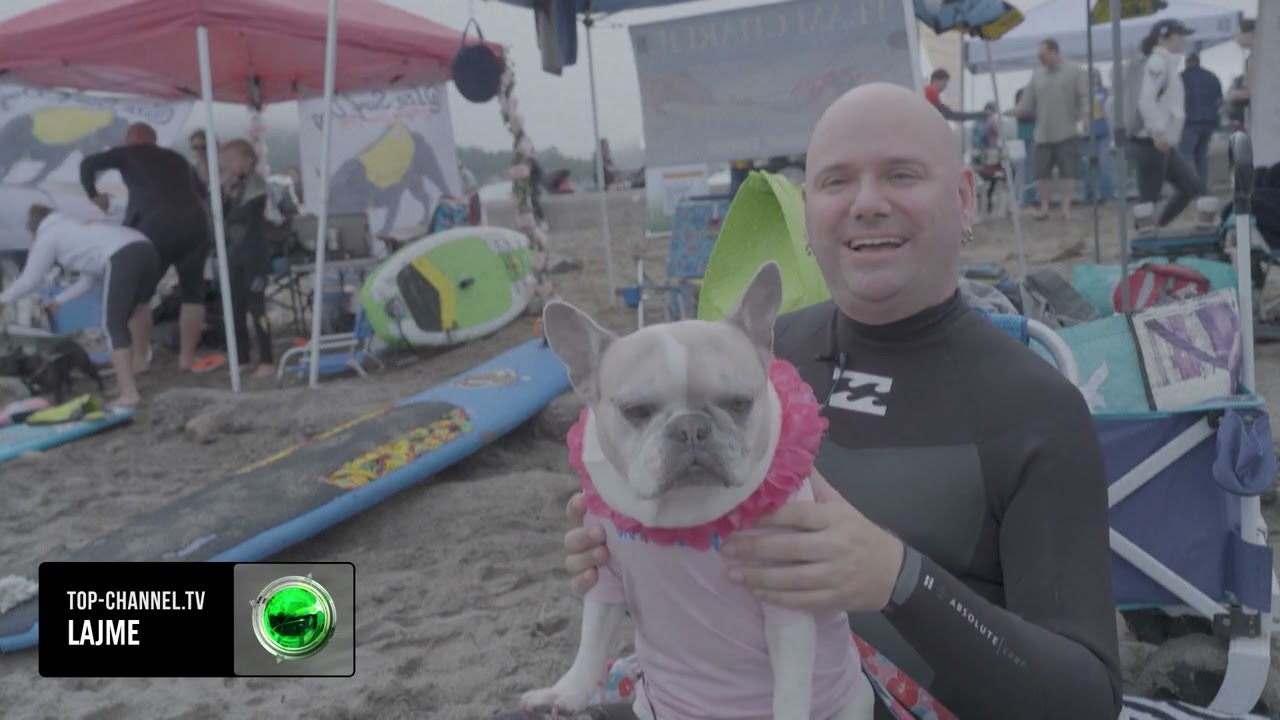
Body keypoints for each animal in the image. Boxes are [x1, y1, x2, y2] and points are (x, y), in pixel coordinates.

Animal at [525, 262, 871, 720]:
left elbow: (792, 685)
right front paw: (569, 690)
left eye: (740, 403)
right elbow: (592, 635)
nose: (690, 428)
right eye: (636, 411)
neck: (682, 513)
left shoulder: (787, 599)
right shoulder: (605, 572)